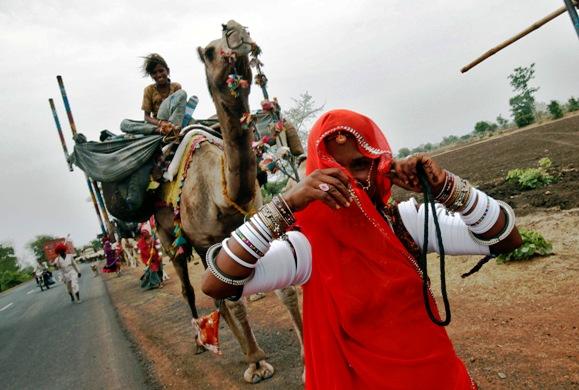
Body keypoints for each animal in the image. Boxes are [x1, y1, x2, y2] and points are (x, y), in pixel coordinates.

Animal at [154, 19, 306, 382]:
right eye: (210, 52)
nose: (235, 29)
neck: (221, 193)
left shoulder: (254, 220)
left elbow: (285, 287)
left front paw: (307, 357)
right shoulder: (210, 237)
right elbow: (234, 299)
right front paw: (257, 363)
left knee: (217, 297)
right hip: (169, 238)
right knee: (188, 286)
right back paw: (202, 343)